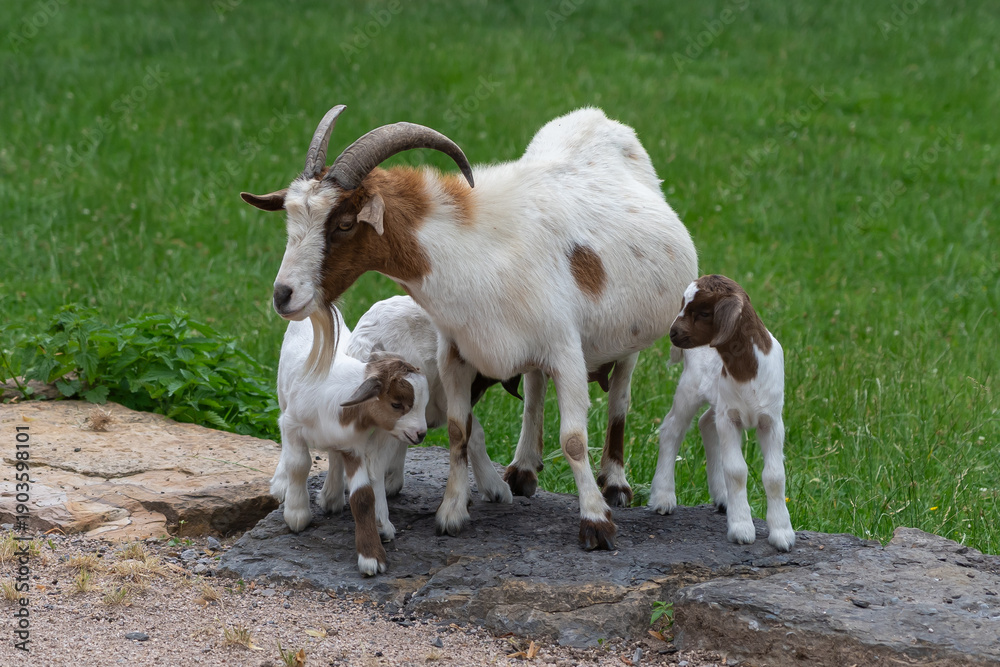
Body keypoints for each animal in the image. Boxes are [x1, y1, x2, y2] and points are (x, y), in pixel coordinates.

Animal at [269, 305, 430, 575]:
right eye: (396, 404)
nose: (420, 433)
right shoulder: (293, 425)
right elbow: (299, 464)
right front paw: (296, 514)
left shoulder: (354, 447)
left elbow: (363, 496)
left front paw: (371, 557)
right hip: (283, 393)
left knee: (335, 457)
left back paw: (332, 497)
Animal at [648, 275, 795, 552]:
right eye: (682, 305)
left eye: (704, 312)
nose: (673, 333)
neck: (745, 370)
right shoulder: (730, 419)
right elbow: (736, 470)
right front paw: (742, 529)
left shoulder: (771, 420)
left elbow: (775, 476)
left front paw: (782, 534)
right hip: (691, 386)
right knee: (671, 429)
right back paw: (663, 496)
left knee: (706, 423)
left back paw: (722, 498)